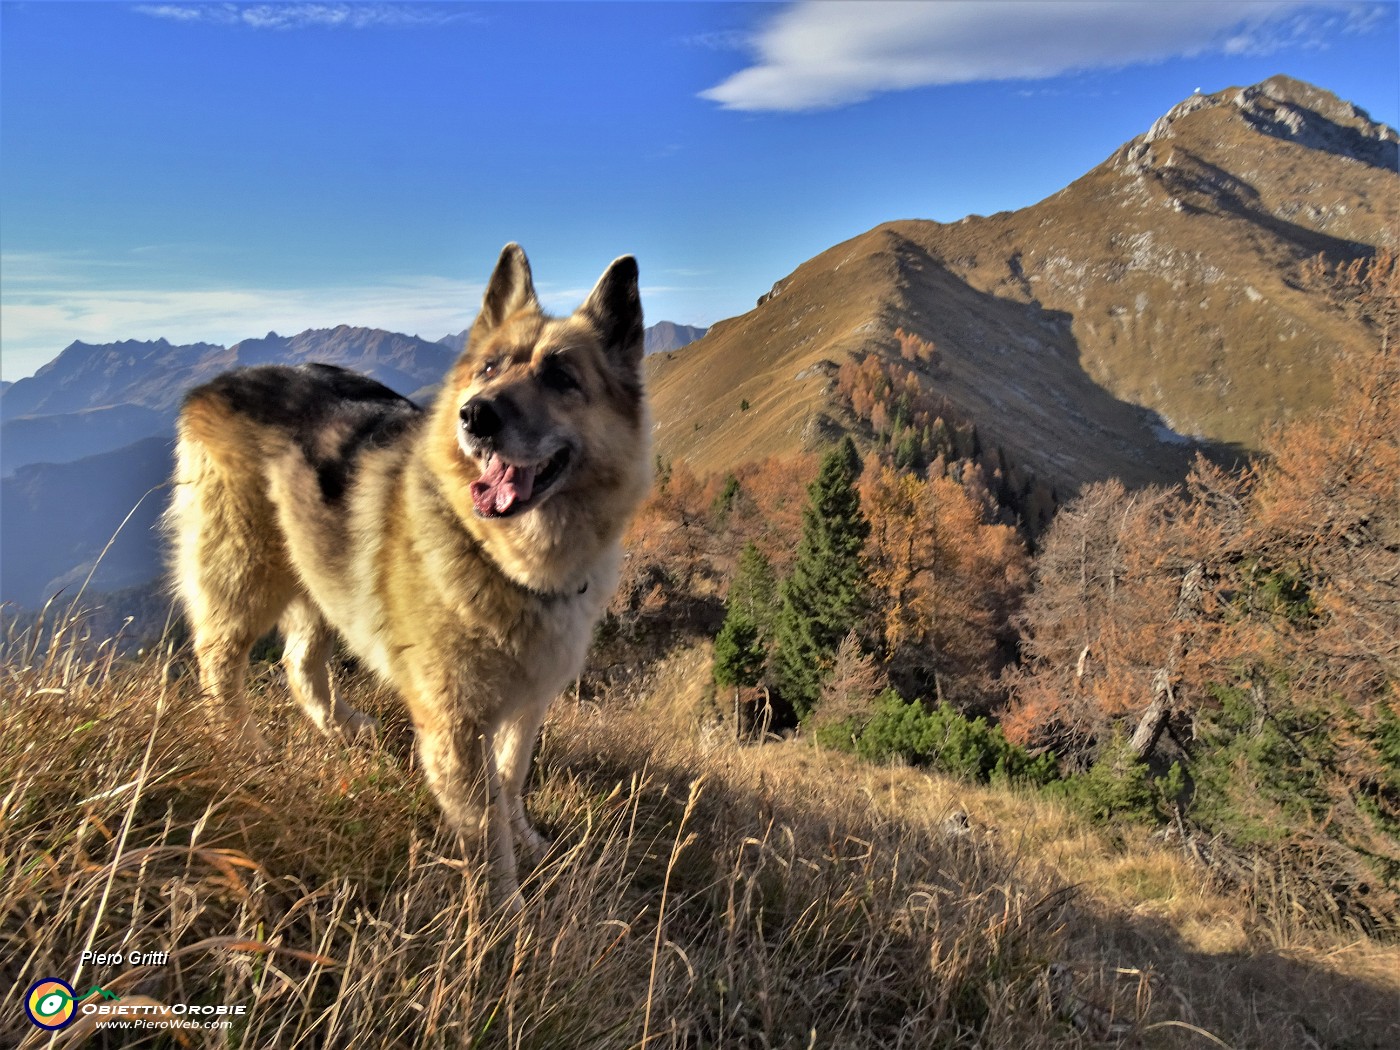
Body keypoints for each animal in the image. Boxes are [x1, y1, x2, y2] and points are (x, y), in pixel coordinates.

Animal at [162, 245, 649, 907]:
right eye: (489, 367)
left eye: (561, 378)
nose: (476, 415)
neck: (499, 560)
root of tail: (215, 384)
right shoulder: (456, 729)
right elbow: (486, 828)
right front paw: (506, 912)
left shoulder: (526, 706)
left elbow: (511, 777)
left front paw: (528, 842)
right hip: (244, 578)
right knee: (220, 666)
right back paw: (244, 751)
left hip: (320, 571)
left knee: (299, 664)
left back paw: (342, 729)